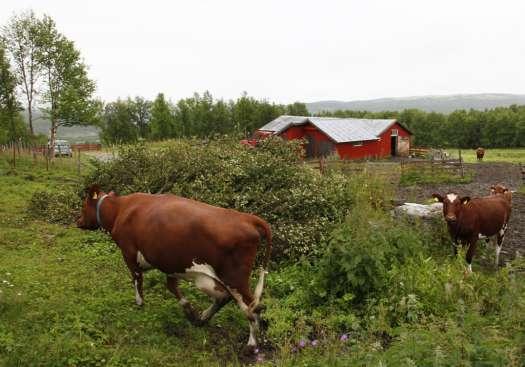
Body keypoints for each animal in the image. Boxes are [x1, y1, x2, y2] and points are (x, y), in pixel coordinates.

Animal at [78, 185, 274, 352]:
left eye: (83, 206)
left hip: (235, 278)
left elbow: (137, 280)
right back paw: (204, 318)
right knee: (227, 298)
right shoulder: (170, 263)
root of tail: (248, 218)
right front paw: (189, 311)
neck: (120, 209)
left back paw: (252, 344)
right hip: (216, 278)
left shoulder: (129, 253)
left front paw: (140, 304)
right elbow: (172, 287)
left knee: (252, 307)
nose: (77, 221)